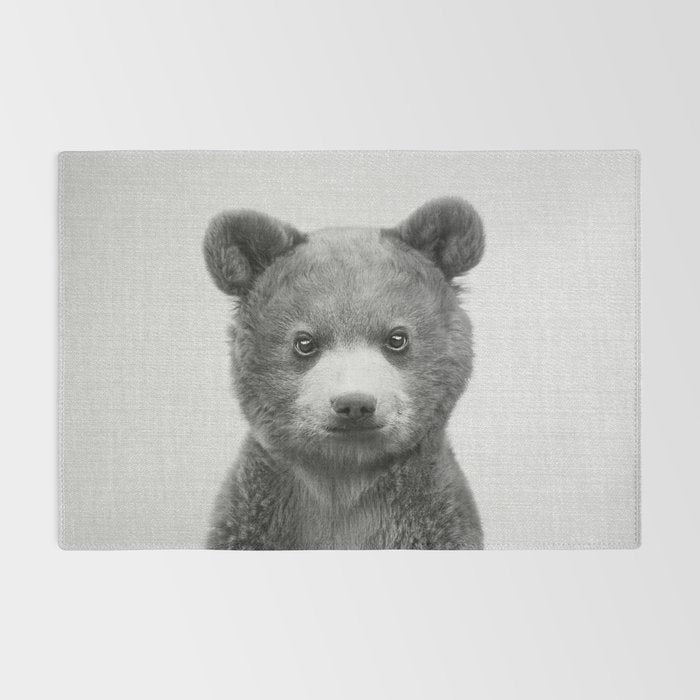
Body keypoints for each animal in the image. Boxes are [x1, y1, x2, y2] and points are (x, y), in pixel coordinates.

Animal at [203, 197, 485, 549]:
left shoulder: (433, 518)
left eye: (397, 338)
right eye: (305, 342)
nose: (354, 404)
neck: (344, 477)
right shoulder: (254, 517)